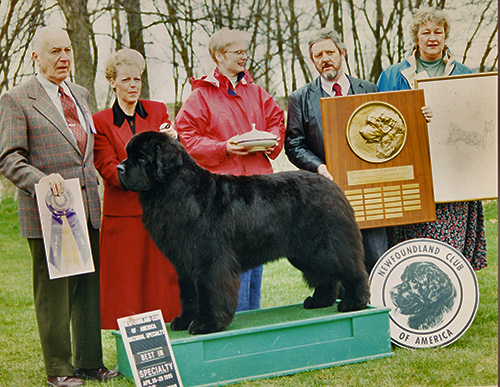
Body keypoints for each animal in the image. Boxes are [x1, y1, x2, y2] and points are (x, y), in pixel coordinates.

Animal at [116, 132, 368, 334]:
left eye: (141, 158)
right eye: (128, 155)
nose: (119, 168)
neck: (176, 191)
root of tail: (332, 185)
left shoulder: (210, 262)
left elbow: (209, 293)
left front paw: (207, 324)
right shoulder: (186, 264)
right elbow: (188, 295)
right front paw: (184, 321)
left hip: (327, 245)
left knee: (351, 270)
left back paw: (354, 302)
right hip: (306, 253)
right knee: (326, 275)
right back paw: (320, 301)